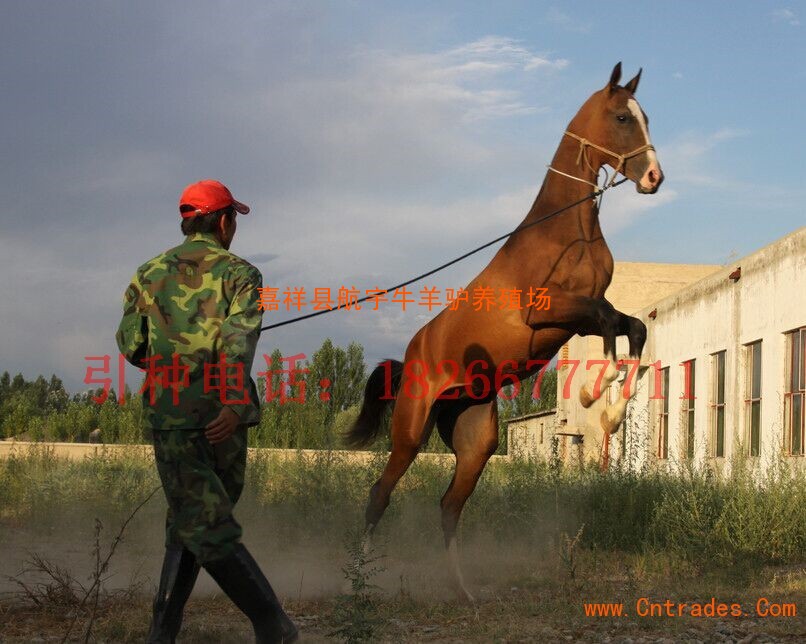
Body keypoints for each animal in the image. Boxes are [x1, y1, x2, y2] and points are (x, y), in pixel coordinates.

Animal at [344, 63, 664, 600]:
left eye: (645, 117)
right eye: (623, 117)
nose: (654, 177)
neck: (566, 232)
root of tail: (409, 356)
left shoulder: (577, 315)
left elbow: (632, 327)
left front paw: (614, 410)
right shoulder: (549, 312)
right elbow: (609, 325)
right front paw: (597, 393)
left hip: (478, 439)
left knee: (449, 508)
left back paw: (463, 591)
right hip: (409, 432)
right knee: (378, 496)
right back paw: (359, 583)